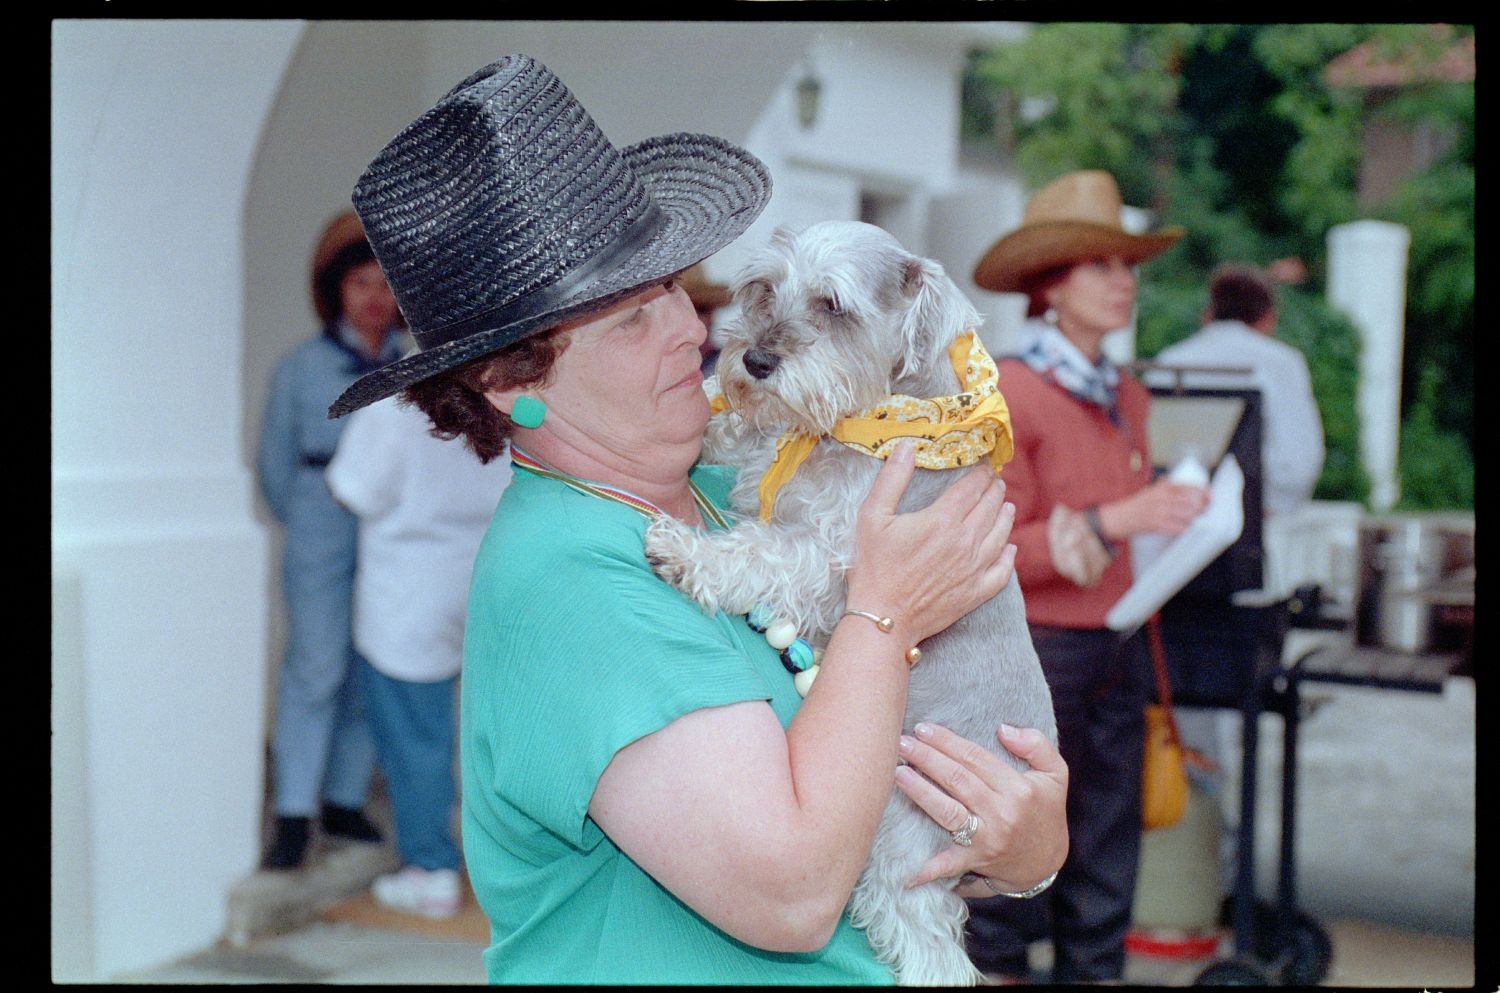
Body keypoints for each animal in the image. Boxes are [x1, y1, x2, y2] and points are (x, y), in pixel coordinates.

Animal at [642, 220, 1056, 990]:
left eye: (833, 304)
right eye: (764, 287)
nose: (755, 358)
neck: (864, 424)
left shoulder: (835, 559)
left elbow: (761, 552)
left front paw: (687, 553)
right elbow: (731, 432)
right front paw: (713, 402)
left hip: (903, 835)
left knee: (926, 943)